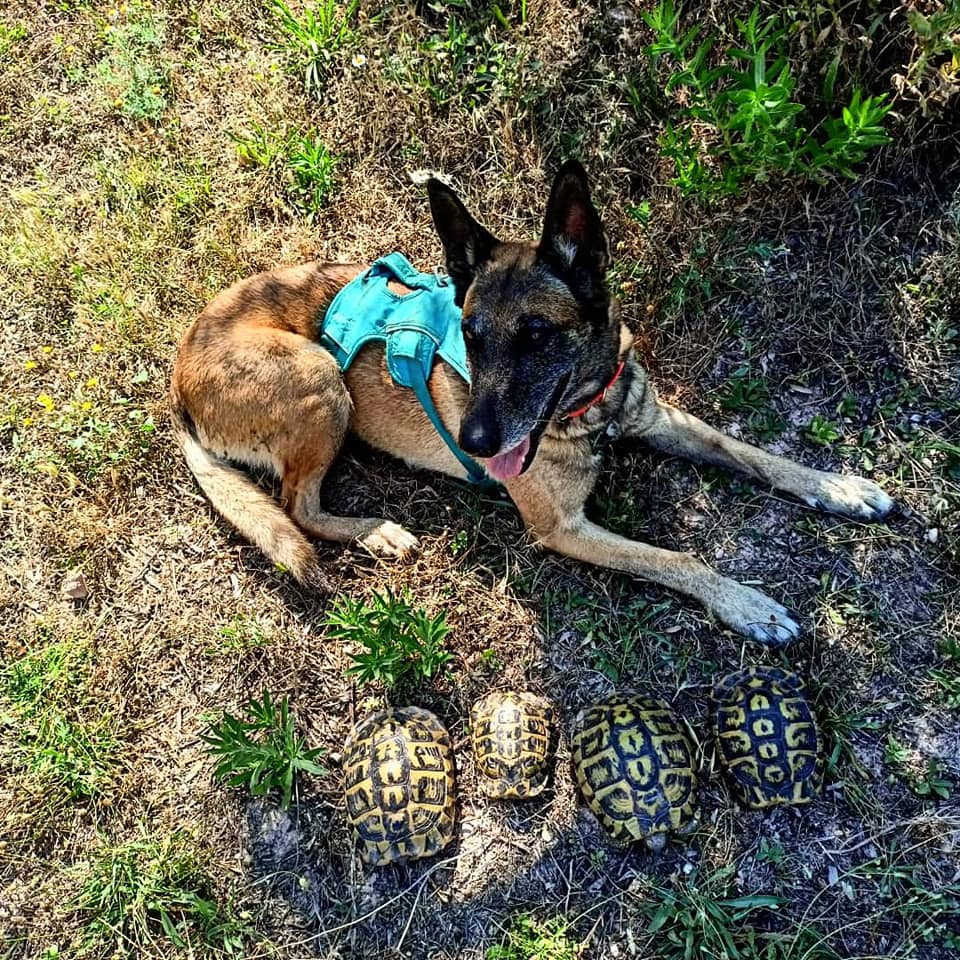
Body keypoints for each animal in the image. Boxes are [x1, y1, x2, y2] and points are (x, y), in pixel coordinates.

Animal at [171, 161, 892, 644]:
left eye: (538, 334)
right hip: (320, 378)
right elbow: (676, 557)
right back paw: (377, 532)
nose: (474, 442)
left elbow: (750, 453)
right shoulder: (562, 527)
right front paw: (746, 604)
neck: (591, 411)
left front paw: (839, 487)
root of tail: (176, 377)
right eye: (471, 333)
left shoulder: (657, 417)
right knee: (297, 507)